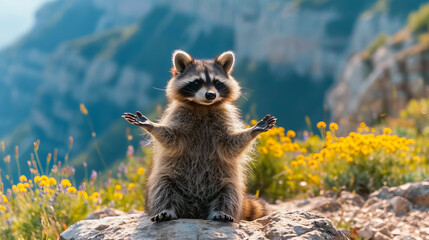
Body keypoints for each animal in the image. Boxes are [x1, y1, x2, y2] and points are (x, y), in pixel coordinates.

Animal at [122, 49, 276, 222]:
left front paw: (252, 131)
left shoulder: (224, 117)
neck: (203, 107)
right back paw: (167, 209)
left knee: (230, 193)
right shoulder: (179, 115)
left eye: (217, 82)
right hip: (166, 176)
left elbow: (230, 144)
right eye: (196, 82)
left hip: (228, 181)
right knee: (162, 187)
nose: (211, 95)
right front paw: (152, 126)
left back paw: (220, 211)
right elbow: (171, 139)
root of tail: (194, 212)